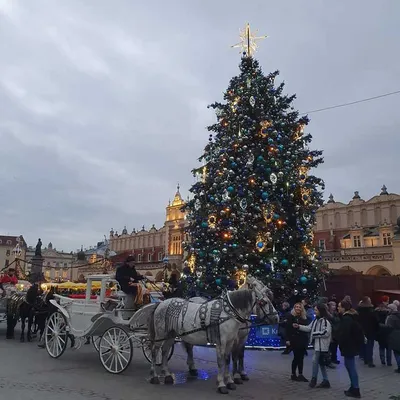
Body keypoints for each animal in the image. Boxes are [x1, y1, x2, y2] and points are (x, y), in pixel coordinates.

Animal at [147, 276, 278, 394]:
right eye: (264, 302)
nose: (276, 318)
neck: (228, 313)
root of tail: (160, 304)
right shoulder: (221, 342)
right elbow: (222, 361)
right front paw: (222, 384)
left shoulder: (232, 341)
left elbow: (229, 359)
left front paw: (230, 381)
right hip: (160, 335)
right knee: (154, 351)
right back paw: (154, 376)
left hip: (171, 335)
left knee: (165, 351)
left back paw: (168, 375)